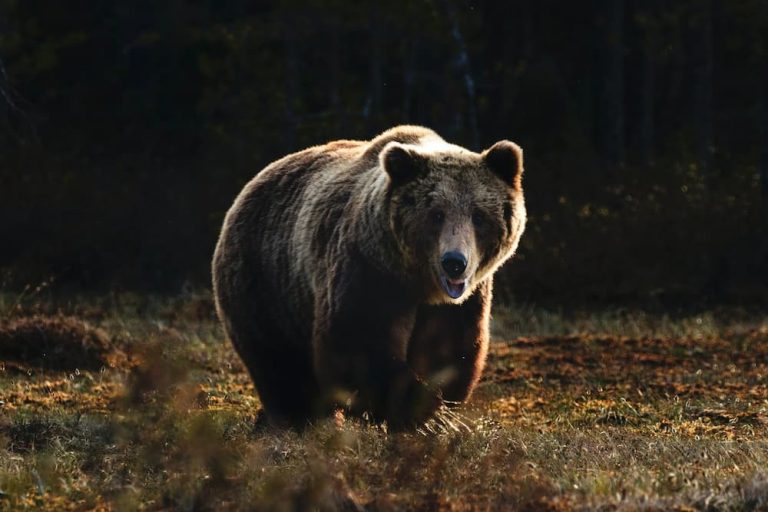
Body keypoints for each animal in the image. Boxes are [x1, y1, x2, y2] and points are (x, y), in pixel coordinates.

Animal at [213, 125, 524, 428]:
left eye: (478, 216)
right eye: (436, 214)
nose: (454, 263)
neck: (418, 282)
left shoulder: (461, 301)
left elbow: (448, 348)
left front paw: (434, 408)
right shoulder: (367, 269)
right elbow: (358, 343)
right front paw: (416, 408)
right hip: (265, 280)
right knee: (278, 361)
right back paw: (297, 417)